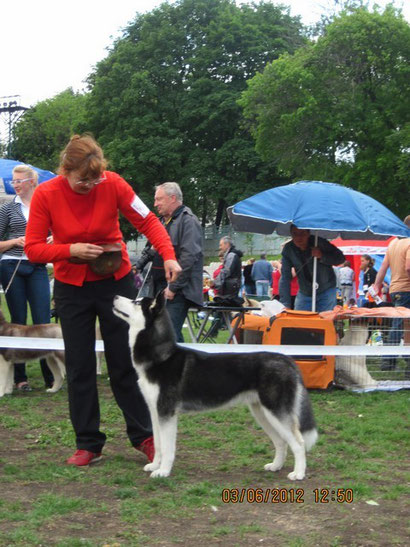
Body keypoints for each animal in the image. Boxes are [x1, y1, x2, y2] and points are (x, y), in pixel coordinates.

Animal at [113, 294, 318, 482]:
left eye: (136, 302)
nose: (114, 296)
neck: (162, 357)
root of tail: (287, 360)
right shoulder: (155, 412)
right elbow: (158, 444)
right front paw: (155, 465)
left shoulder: (167, 413)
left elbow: (168, 447)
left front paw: (163, 471)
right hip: (263, 413)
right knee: (281, 441)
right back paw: (276, 466)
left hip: (276, 412)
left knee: (298, 442)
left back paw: (298, 473)